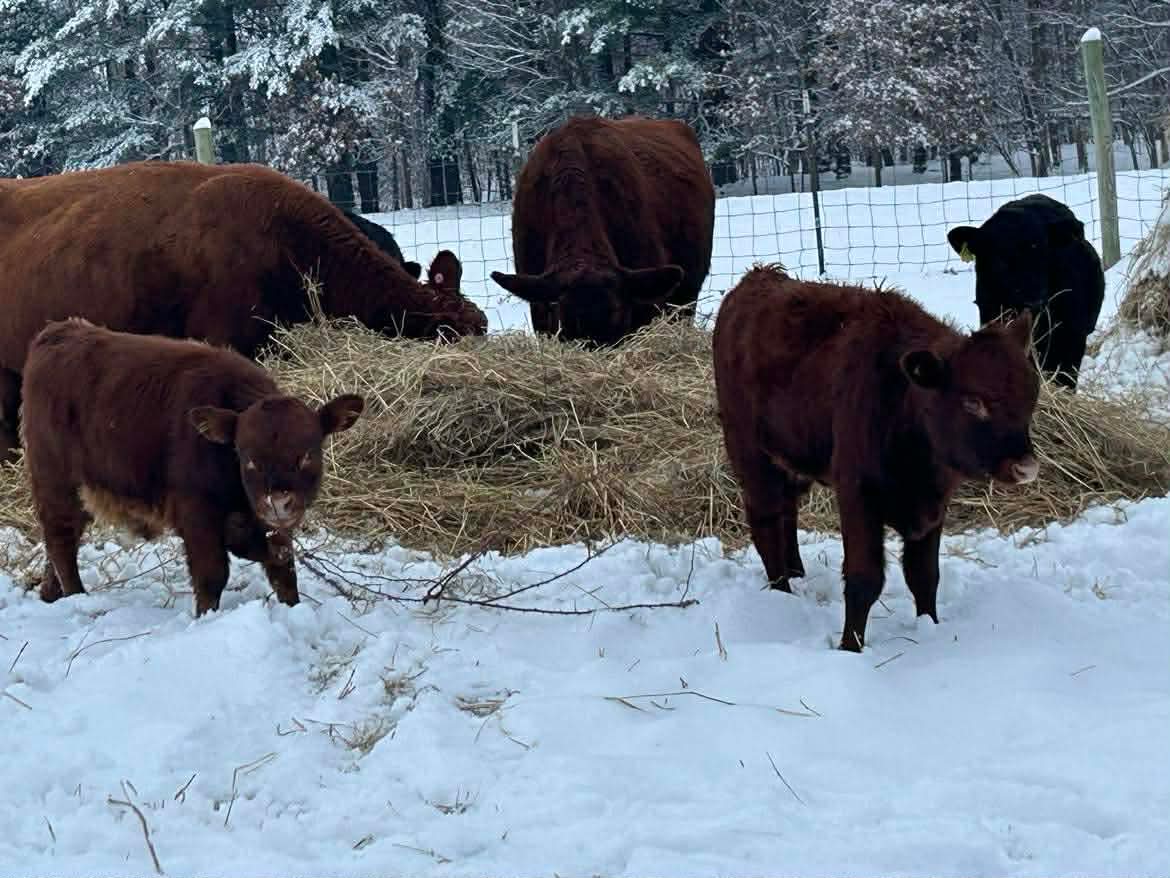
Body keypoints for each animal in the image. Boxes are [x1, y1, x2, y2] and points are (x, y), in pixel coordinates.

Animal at [20, 318, 364, 616]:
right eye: (248, 458)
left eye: (307, 455)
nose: (278, 502)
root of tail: (60, 331)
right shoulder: (197, 513)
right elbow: (212, 574)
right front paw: (205, 618)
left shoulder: (267, 525)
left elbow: (283, 567)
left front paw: (293, 609)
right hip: (56, 480)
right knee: (61, 538)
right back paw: (77, 597)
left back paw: (50, 594)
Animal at [713, 266, 1042, 652]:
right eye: (973, 401)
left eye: (1030, 397)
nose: (1025, 467)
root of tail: (758, 277)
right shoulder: (858, 495)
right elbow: (864, 579)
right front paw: (850, 647)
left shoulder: (933, 505)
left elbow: (924, 575)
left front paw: (930, 627)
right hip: (750, 454)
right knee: (765, 519)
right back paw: (782, 592)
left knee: (787, 510)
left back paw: (796, 572)